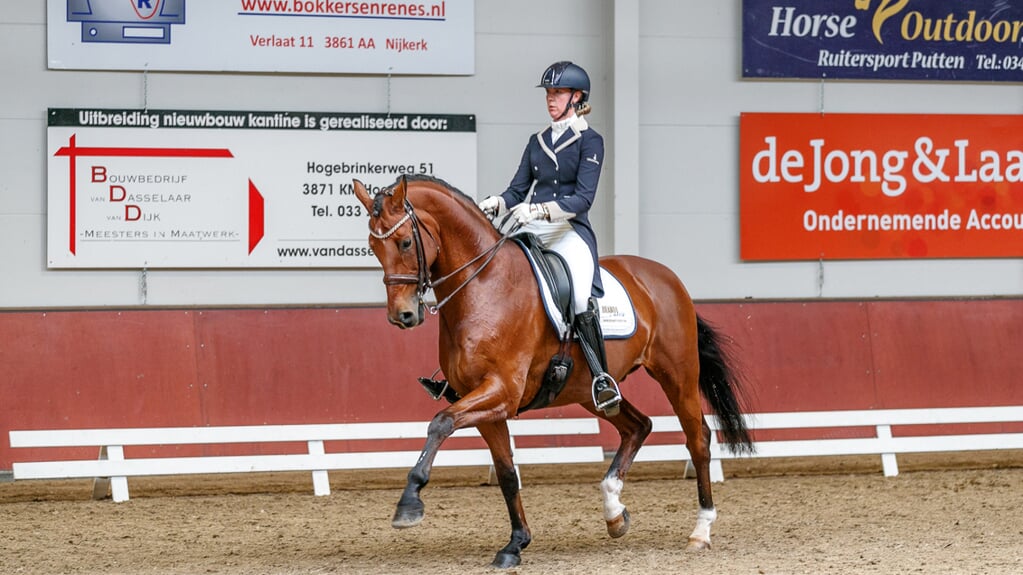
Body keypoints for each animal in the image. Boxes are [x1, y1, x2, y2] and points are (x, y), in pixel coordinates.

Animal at [351, 173, 752, 564]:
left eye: (404, 242)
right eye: (373, 247)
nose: (402, 316)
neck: (483, 286)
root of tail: (666, 278)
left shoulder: (501, 392)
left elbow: (440, 423)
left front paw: (409, 504)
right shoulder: (485, 403)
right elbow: (506, 474)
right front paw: (516, 543)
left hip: (677, 374)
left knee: (697, 439)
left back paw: (700, 531)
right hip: (591, 391)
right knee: (639, 426)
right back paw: (614, 512)